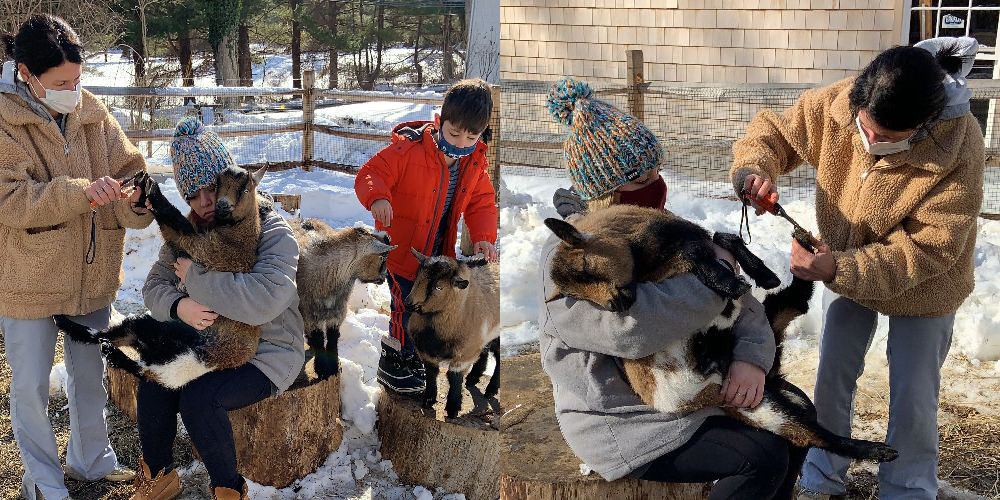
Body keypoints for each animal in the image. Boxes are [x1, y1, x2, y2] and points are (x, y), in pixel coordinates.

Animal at [54, 166, 270, 389]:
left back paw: (104, 347)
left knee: (135, 361)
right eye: (217, 184)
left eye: (245, 189)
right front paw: (142, 190)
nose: (222, 204)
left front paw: (151, 187)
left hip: (182, 359)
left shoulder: (209, 251)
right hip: (153, 330)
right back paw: (70, 326)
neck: (240, 234)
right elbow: (171, 228)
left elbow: (176, 224)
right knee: (111, 336)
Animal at [290, 220, 396, 379]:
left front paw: (333, 367)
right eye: (383, 258)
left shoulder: (339, 311)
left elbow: (333, 337)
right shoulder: (310, 312)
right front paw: (322, 369)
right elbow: (319, 339)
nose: (383, 279)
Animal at [405, 249, 500, 419]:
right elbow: (431, 373)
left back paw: (491, 389)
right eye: (418, 277)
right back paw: (473, 377)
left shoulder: (464, 355)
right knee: (485, 351)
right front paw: (428, 399)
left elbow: (454, 377)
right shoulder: (425, 351)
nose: (408, 303)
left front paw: (452, 407)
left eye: (439, 287)